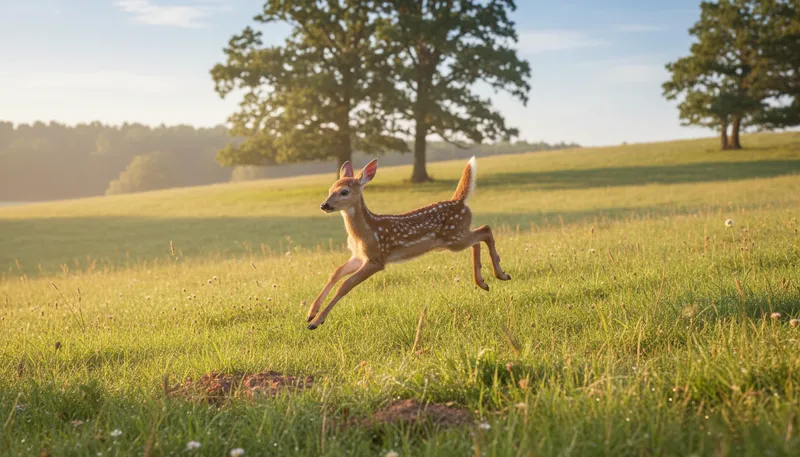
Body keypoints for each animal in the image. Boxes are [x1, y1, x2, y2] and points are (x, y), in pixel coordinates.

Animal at [306, 156, 511, 330]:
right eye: (330, 190)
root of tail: (459, 201)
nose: (324, 205)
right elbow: (336, 272)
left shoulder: (377, 258)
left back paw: (500, 274)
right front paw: (311, 312)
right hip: (453, 240)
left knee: (485, 230)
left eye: (344, 192)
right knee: (477, 239)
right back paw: (482, 282)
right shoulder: (359, 256)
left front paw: (316, 322)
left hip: (455, 237)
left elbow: (346, 284)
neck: (366, 232)